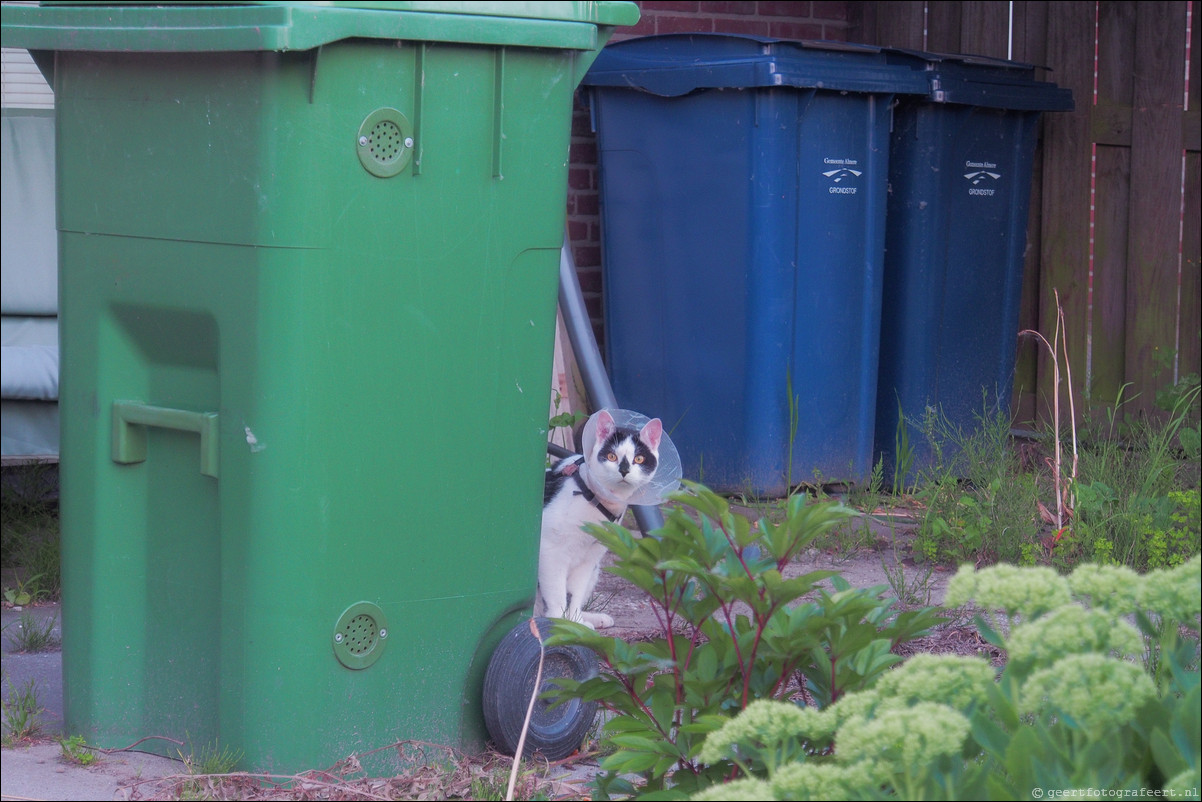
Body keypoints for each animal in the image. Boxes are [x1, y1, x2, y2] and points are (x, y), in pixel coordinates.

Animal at [538, 411, 663, 630]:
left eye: (638, 458)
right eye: (612, 456)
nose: (624, 470)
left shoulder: (588, 559)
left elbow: (575, 594)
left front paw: (576, 624)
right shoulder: (550, 552)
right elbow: (557, 594)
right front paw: (560, 624)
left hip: (595, 570)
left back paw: (592, 619)